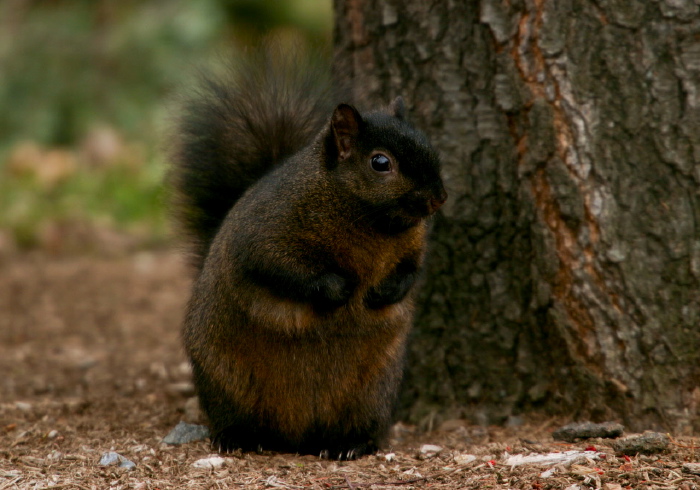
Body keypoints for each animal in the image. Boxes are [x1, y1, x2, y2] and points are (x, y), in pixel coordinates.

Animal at [170, 49, 446, 460]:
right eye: (381, 162)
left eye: (428, 144)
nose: (439, 198)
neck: (365, 217)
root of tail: (297, 436)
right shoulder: (264, 237)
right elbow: (283, 272)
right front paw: (340, 289)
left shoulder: (413, 247)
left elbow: (411, 273)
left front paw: (383, 293)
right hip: (226, 380)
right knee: (234, 417)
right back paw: (239, 437)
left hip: (372, 393)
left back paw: (350, 444)